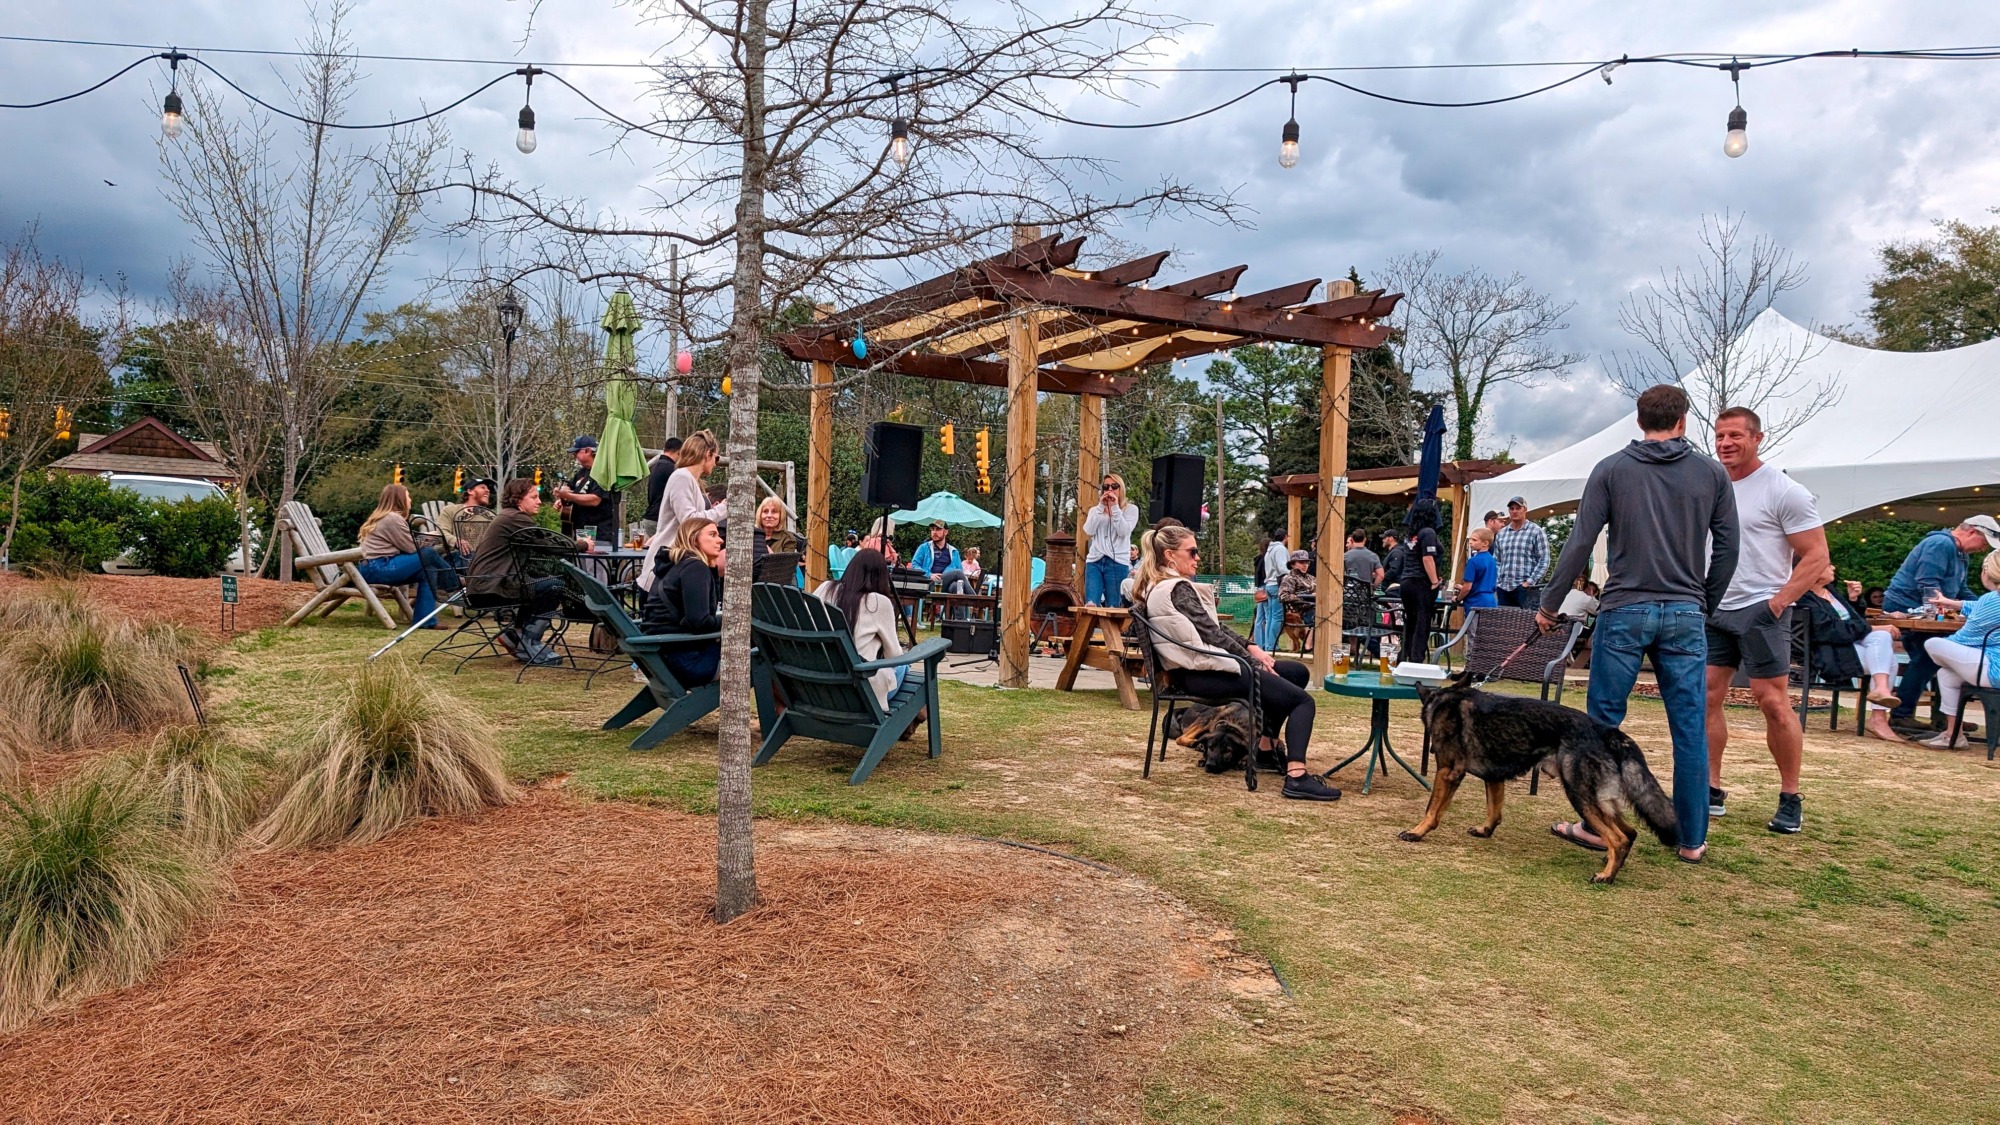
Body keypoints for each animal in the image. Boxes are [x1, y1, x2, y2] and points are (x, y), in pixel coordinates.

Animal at [1400, 668, 1680, 880]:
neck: (1446, 700)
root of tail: (1605, 731)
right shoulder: (1494, 777)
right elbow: (1494, 810)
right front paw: (1485, 830)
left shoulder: (1447, 772)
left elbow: (1432, 809)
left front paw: (1417, 832)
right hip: (1601, 801)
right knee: (1630, 832)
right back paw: (1611, 862)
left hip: (1580, 797)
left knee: (1619, 838)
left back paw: (1607, 876)